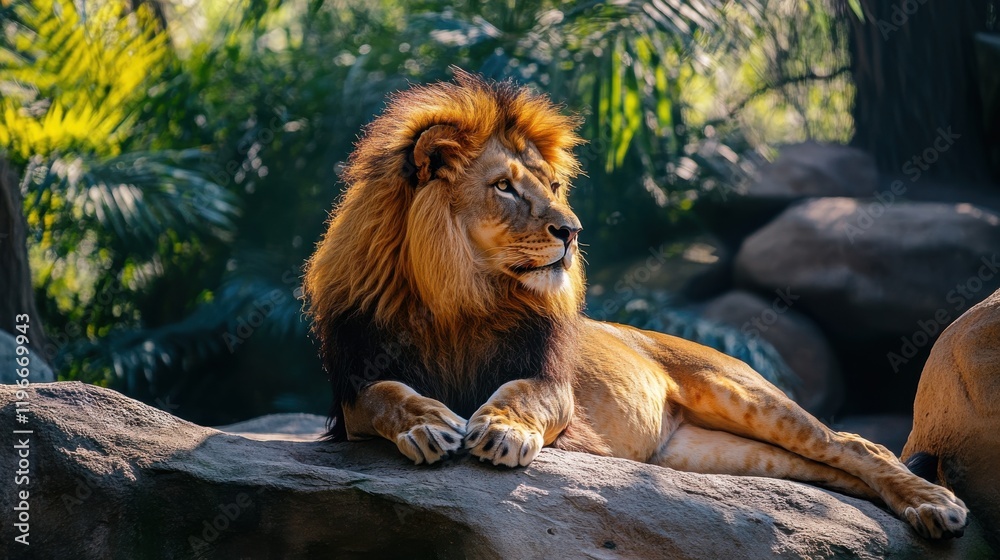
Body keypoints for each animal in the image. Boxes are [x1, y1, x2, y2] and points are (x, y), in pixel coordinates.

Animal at [303, 69, 967, 540]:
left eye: (554, 186)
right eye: (504, 186)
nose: (571, 231)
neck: (459, 295)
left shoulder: (552, 383)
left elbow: (521, 394)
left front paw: (502, 430)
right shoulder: (352, 395)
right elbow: (387, 394)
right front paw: (427, 422)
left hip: (741, 392)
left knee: (856, 444)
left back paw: (935, 504)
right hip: (712, 456)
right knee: (828, 470)